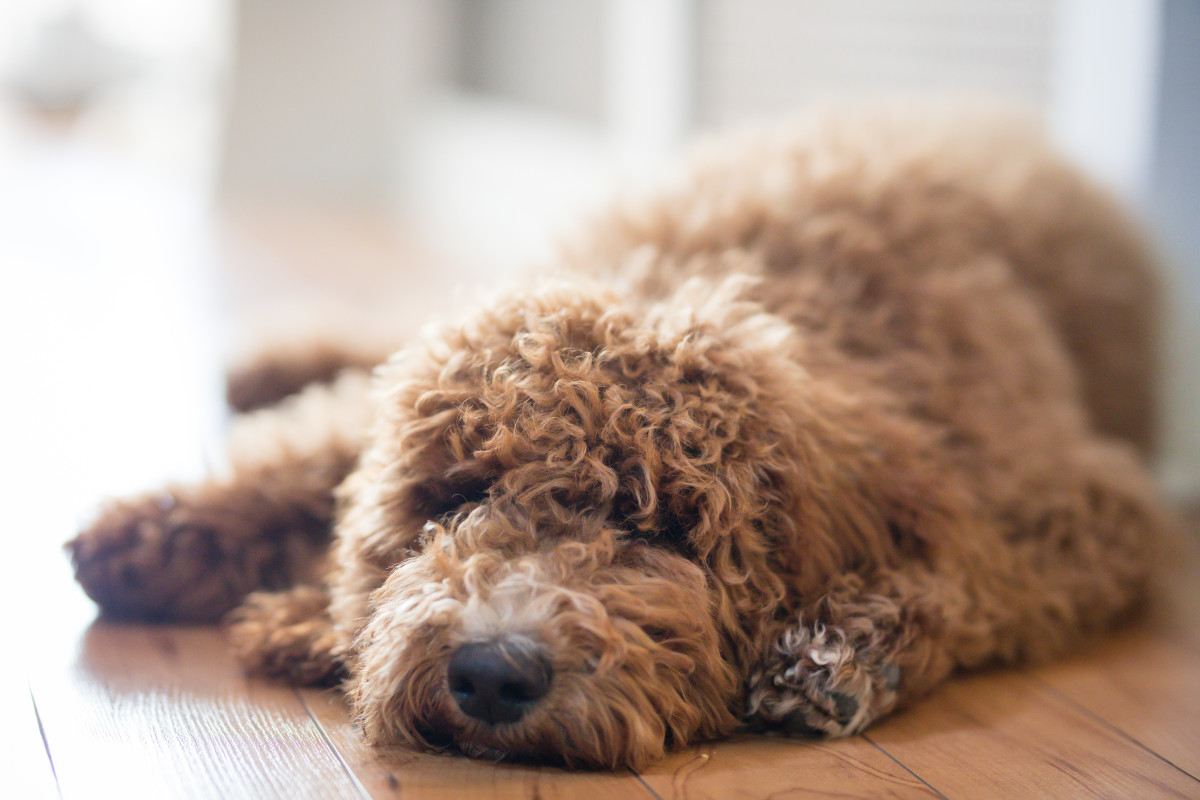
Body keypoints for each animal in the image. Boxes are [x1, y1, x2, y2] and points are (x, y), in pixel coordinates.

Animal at [68, 104, 1171, 767]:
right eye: (456, 495)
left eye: (664, 529)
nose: (492, 671)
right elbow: (316, 447)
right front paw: (152, 533)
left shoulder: (1083, 502)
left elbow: (985, 576)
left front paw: (847, 652)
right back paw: (272, 358)